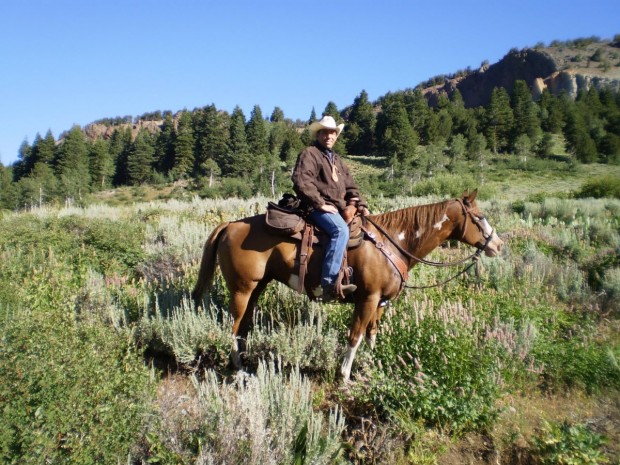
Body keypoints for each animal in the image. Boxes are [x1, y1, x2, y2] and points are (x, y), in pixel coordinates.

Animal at [193, 189, 504, 380]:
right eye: (479, 217)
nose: (498, 245)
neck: (394, 242)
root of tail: (231, 224)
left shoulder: (381, 303)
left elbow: (372, 335)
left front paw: (372, 363)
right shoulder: (367, 299)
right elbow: (355, 336)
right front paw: (344, 375)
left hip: (257, 288)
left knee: (244, 325)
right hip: (242, 288)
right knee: (233, 325)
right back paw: (238, 367)